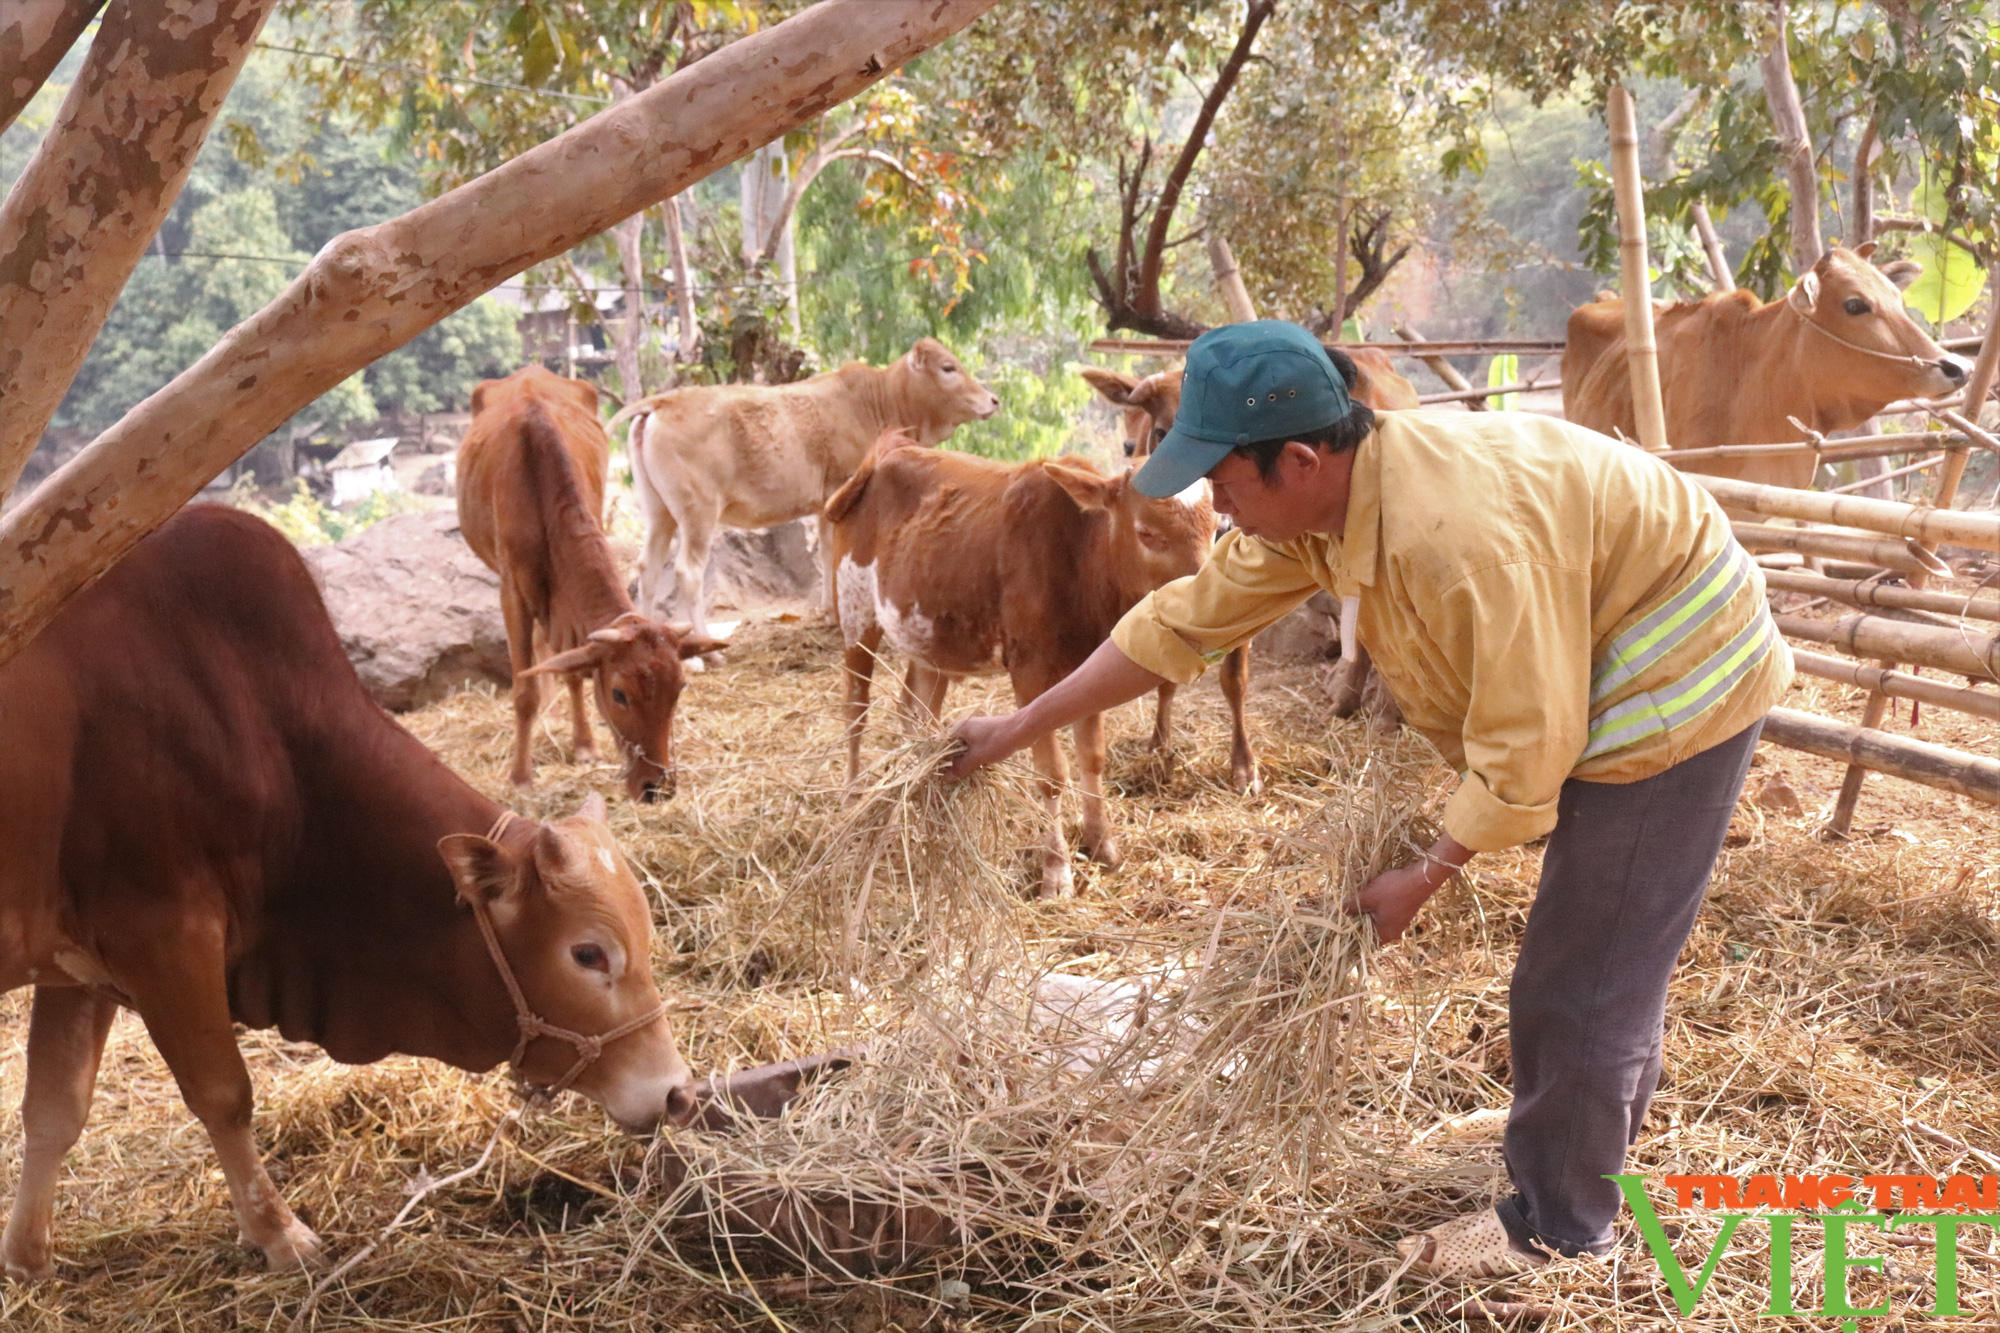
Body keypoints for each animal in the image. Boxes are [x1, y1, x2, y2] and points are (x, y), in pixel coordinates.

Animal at [0, 504, 696, 1272]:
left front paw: (27, 1258)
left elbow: (55, 1109)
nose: (676, 1093)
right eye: (588, 953)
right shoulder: (161, 938)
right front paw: (280, 1235)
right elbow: (224, 1093)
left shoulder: (78, 968)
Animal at [458, 360, 724, 800]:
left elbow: (571, 668)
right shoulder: (511, 592)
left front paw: (584, 744)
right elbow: (525, 691)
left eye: (680, 687)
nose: (655, 787)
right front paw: (521, 777)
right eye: (619, 693)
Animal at [600, 334, 992, 640]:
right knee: (687, 572)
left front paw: (830, 612)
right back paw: (708, 646)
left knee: (648, 569)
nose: (994, 400)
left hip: (659, 514)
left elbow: (827, 553)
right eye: (948, 368)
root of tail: (663, 400)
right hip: (698, 514)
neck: (877, 401)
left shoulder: (825, 504)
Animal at [820, 436, 1208, 892]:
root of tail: (891, 448)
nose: (1200, 592)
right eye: (1148, 533)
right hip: (855, 611)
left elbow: (1092, 757)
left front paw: (1102, 844)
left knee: (915, 711)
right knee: (856, 708)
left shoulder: (1087, 661)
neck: (1079, 558)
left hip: (928, 635)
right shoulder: (1029, 670)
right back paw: (852, 799)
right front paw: (1056, 871)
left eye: (1217, 525)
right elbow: (1051, 773)